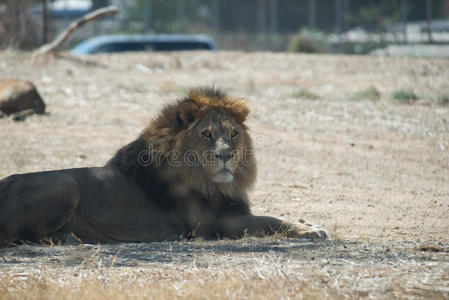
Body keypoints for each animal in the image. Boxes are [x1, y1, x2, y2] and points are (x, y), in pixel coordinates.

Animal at [0, 87, 324, 246]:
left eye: (234, 134)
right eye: (207, 134)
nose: (227, 155)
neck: (212, 182)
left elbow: (280, 214)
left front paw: (309, 223)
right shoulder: (219, 224)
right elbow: (270, 220)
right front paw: (311, 231)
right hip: (66, 184)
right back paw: (68, 237)